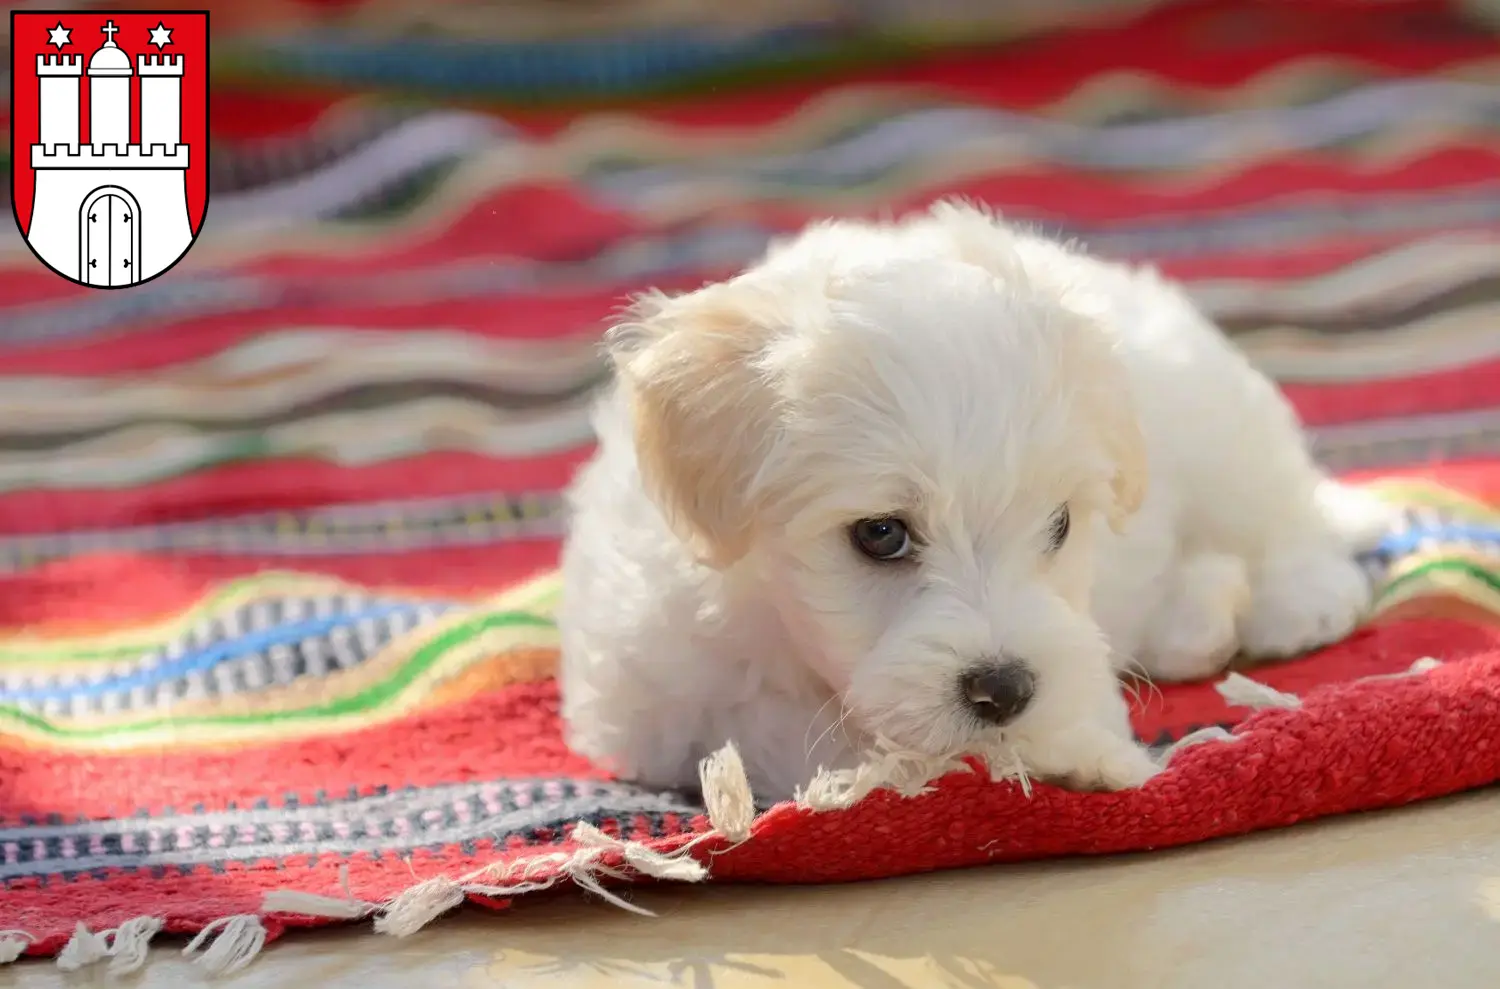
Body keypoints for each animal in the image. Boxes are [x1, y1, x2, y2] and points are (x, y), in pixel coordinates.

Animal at [558, 205, 1386, 798]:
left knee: (1283, 511)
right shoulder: (649, 703)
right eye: (880, 533)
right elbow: (780, 729)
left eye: (1060, 524)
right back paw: (1199, 614)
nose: (1006, 689)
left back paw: (1295, 601)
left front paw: (1083, 751)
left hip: (1217, 429)